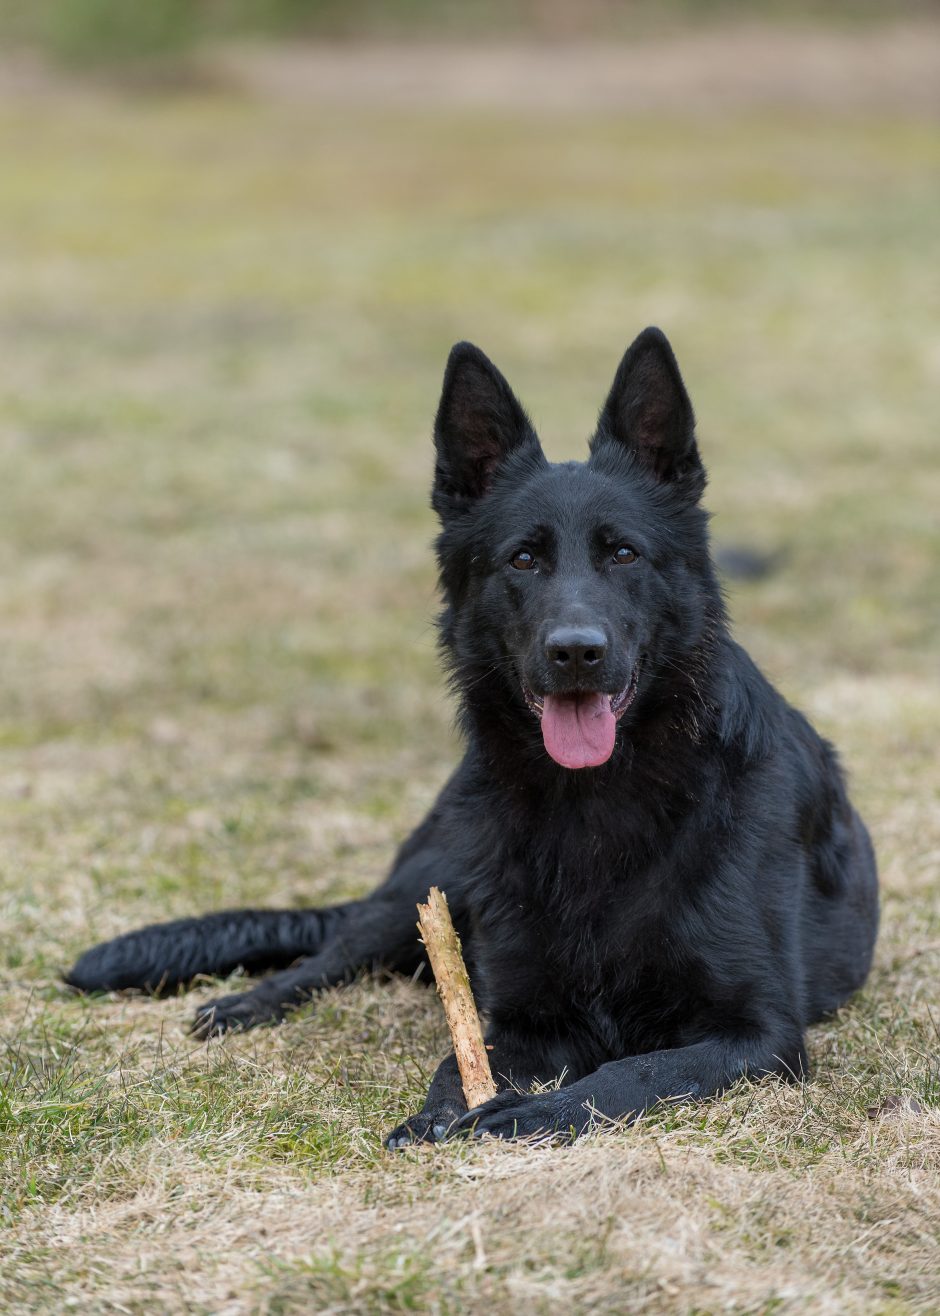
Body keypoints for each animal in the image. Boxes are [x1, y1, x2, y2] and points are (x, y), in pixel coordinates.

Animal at [67, 326, 879, 1142]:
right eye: (523, 558)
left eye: (623, 553)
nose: (575, 652)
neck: (595, 804)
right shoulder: (526, 1018)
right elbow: (459, 1060)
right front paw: (442, 1113)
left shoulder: (757, 1034)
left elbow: (630, 1072)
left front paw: (526, 1115)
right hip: (429, 884)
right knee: (331, 955)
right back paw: (248, 1004)